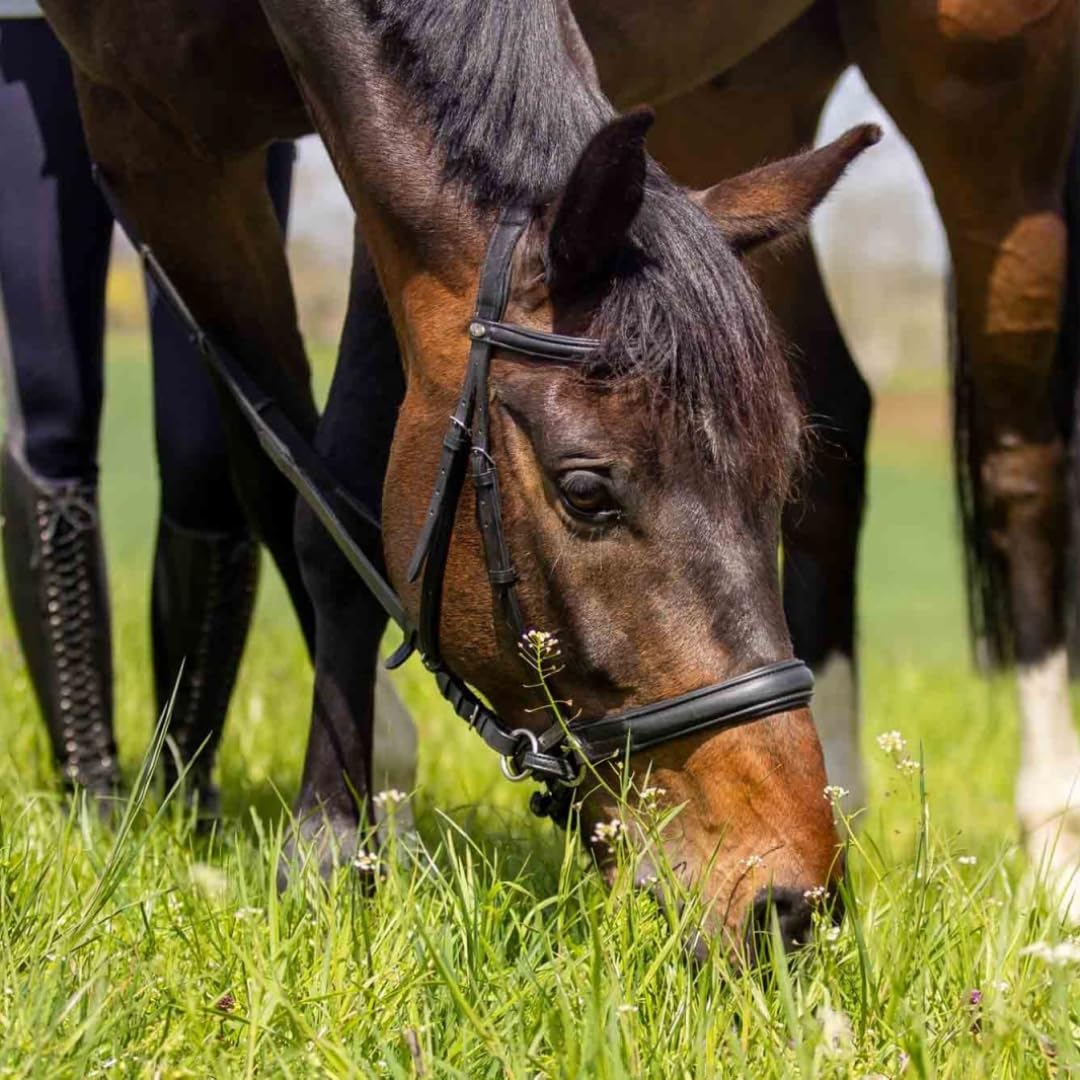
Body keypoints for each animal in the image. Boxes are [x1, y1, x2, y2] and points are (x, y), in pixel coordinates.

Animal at [33, 0, 1078, 945]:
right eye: (585, 490)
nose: (790, 902)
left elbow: (342, 497)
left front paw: (340, 843)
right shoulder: (153, 138)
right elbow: (294, 487)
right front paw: (350, 840)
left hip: (988, 91)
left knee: (1021, 466)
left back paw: (1051, 854)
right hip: (744, 98)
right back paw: (852, 800)